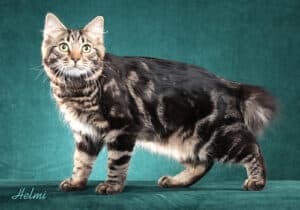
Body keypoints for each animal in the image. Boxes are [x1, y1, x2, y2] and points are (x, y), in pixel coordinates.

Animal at [41, 12, 276, 194]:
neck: (77, 87)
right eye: (64, 47)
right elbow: (81, 162)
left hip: (219, 135)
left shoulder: (122, 128)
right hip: (185, 140)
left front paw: (112, 186)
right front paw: (76, 183)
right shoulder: (85, 133)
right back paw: (176, 181)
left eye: (87, 48)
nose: (75, 59)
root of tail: (228, 83)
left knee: (253, 149)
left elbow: (116, 162)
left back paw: (257, 181)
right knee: (204, 162)